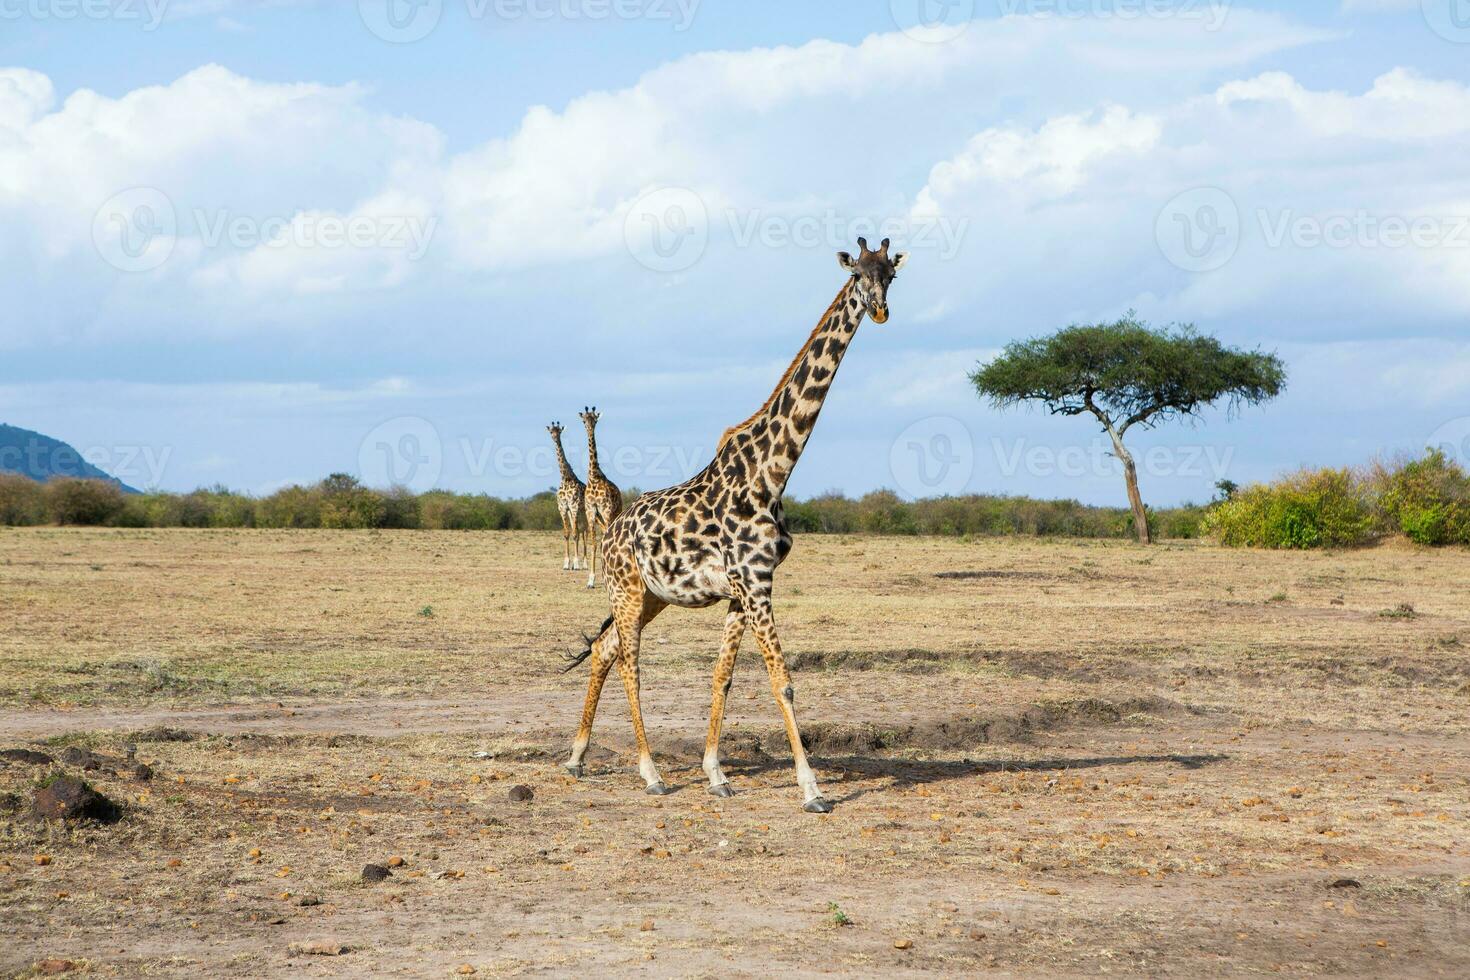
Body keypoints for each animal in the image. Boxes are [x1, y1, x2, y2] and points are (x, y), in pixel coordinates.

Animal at [546, 423, 585, 575]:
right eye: (551, 431)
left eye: (560, 431)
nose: (555, 438)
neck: (566, 478)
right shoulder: (563, 508)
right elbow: (567, 533)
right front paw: (566, 563)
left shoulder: (574, 506)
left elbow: (575, 534)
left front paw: (576, 564)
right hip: (575, 513)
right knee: (581, 531)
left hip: (583, 512)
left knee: (583, 532)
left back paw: (585, 563)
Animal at [579, 405, 626, 590]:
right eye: (584, 420)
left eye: (595, 419)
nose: (589, 428)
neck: (593, 477)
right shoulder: (591, 513)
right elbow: (593, 544)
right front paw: (590, 580)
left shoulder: (605, 511)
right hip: (601, 517)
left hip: (612, 514)